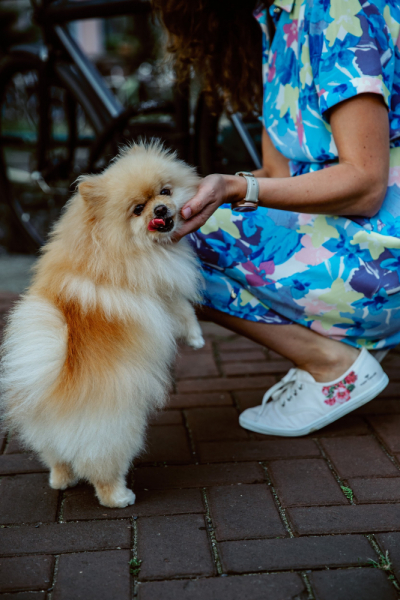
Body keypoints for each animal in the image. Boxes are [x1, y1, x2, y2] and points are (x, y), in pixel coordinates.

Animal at [0, 141, 205, 506]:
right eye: (137, 209)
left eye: (165, 191)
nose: (161, 209)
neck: (107, 242)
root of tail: (57, 391)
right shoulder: (162, 293)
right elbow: (184, 311)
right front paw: (196, 338)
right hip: (119, 434)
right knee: (102, 471)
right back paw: (120, 496)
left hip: (48, 439)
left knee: (57, 460)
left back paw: (61, 481)